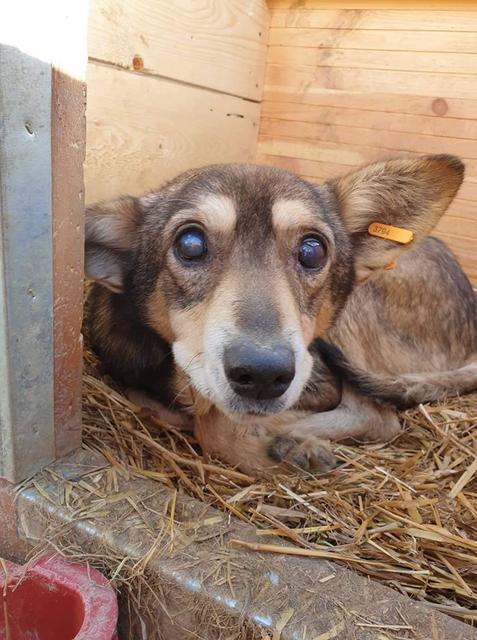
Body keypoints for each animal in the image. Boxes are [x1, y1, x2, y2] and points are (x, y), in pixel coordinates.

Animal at [84, 154, 476, 476]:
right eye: (190, 244)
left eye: (312, 250)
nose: (262, 374)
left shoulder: (317, 380)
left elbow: (216, 427)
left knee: (377, 417)